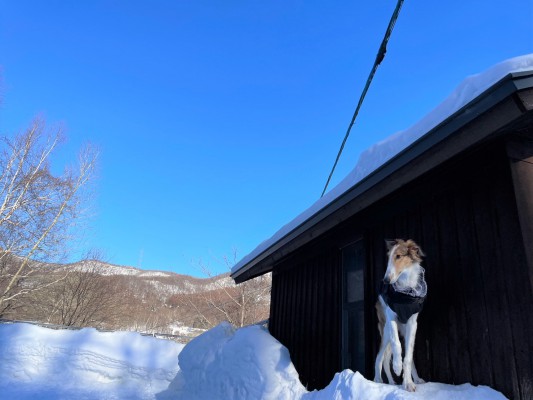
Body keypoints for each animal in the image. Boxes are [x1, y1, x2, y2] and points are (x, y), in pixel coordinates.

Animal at [374, 239, 428, 392]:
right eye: (389, 257)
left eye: (398, 256)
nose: (385, 280)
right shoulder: (392, 318)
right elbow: (397, 345)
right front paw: (397, 367)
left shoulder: (412, 324)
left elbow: (408, 357)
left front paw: (408, 383)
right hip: (386, 329)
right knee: (381, 357)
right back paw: (378, 380)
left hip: (403, 329)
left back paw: (410, 380)